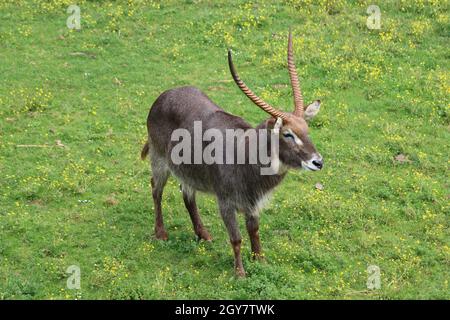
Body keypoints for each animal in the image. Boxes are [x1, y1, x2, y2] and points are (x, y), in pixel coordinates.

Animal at [142, 31, 322, 276]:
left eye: (306, 129)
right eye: (287, 134)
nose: (317, 162)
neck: (246, 154)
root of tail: (164, 96)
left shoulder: (251, 202)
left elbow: (254, 231)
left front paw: (260, 262)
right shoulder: (226, 202)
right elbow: (236, 238)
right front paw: (240, 273)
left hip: (187, 171)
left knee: (187, 195)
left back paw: (203, 234)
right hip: (159, 161)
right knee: (156, 189)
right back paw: (161, 233)